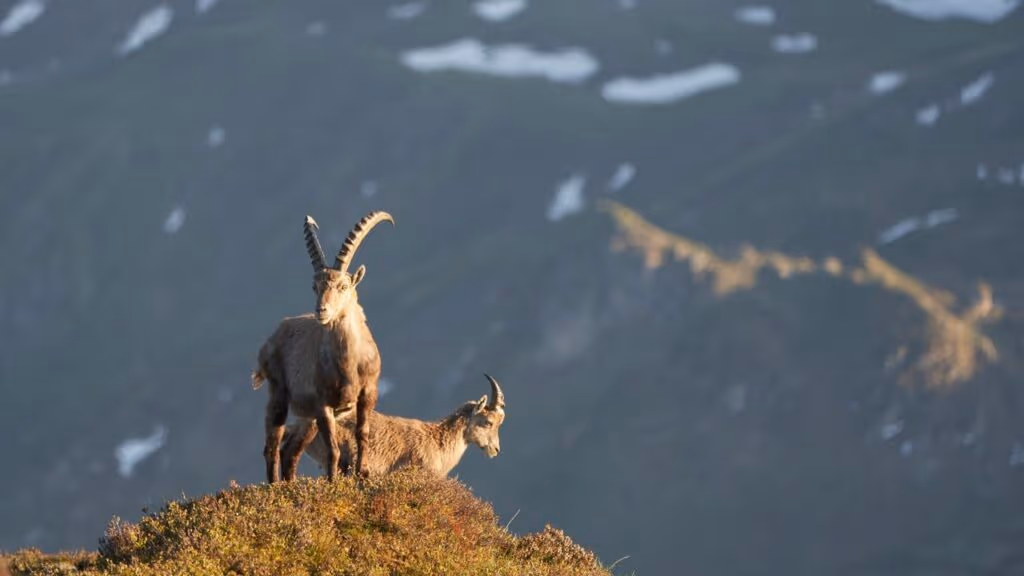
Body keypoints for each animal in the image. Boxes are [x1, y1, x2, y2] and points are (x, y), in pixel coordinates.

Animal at [252, 211, 393, 482]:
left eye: (343, 286)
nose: (321, 311)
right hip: (279, 395)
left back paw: (289, 485)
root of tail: (273, 336)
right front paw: (332, 483)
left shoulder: (367, 393)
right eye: (315, 286)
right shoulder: (323, 405)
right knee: (271, 446)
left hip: (307, 419)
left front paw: (362, 474)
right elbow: (333, 450)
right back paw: (274, 487)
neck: (349, 363)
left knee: (289, 452)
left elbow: (362, 434)